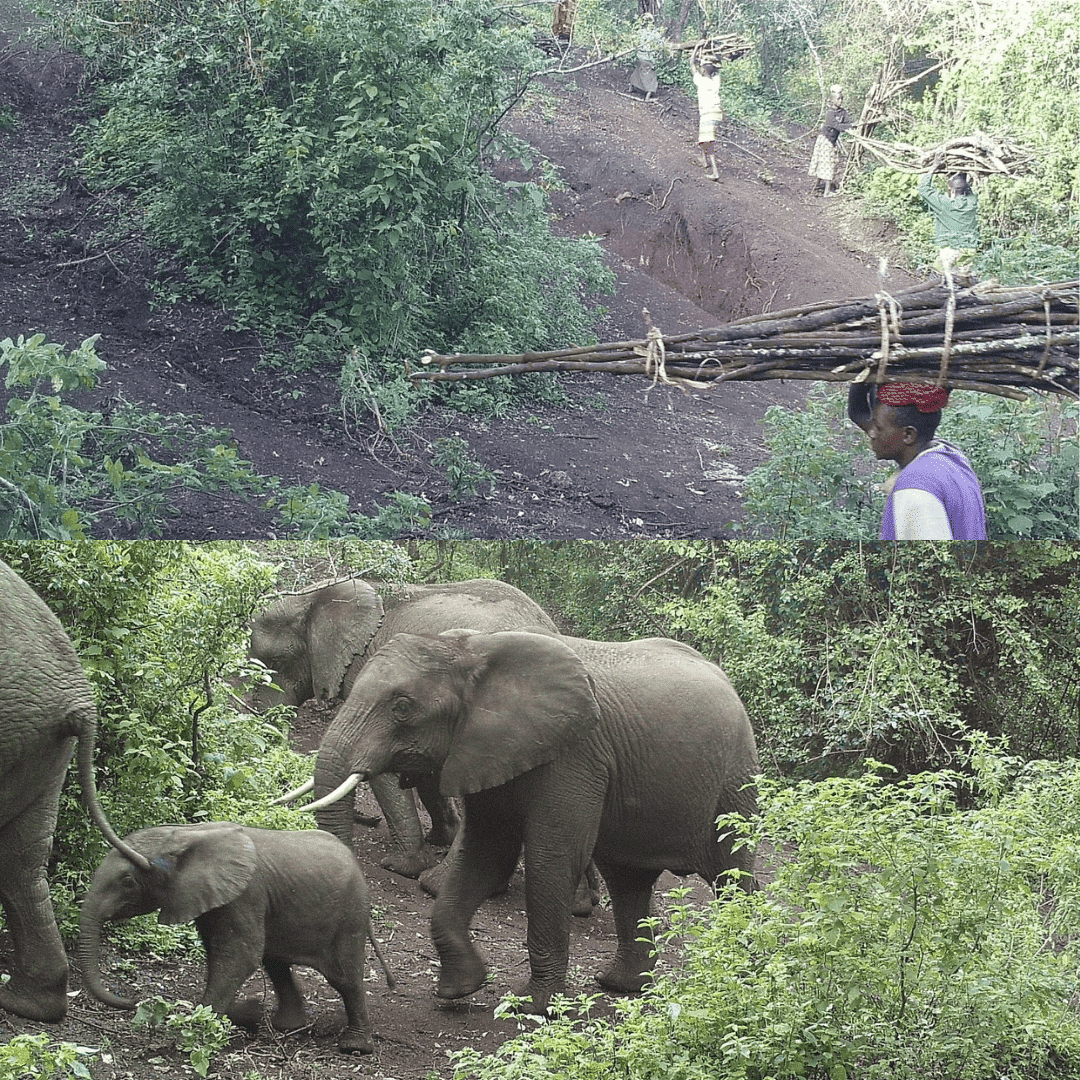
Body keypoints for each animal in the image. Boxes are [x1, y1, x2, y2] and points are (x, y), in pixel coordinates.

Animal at [77, 822, 394, 1054]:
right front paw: (249, 1012)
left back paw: (354, 1047)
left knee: (344, 977)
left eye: (128, 882)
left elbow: (239, 956)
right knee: (275, 963)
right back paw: (285, 1025)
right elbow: (223, 955)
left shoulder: (244, 895)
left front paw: (205, 1027)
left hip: (350, 914)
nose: (132, 1001)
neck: (184, 834)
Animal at [308, 628, 760, 1014]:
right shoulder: (487, 749)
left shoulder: (574, 755)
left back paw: (744, 975)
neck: (472, 650)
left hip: (735, 782)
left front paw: (533, 1007)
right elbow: (487, 852)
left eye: (402, 708)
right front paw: (459, 989)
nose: (387, 983)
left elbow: (551, 858)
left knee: (730, 873)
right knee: (628, 879)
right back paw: (620, 985)